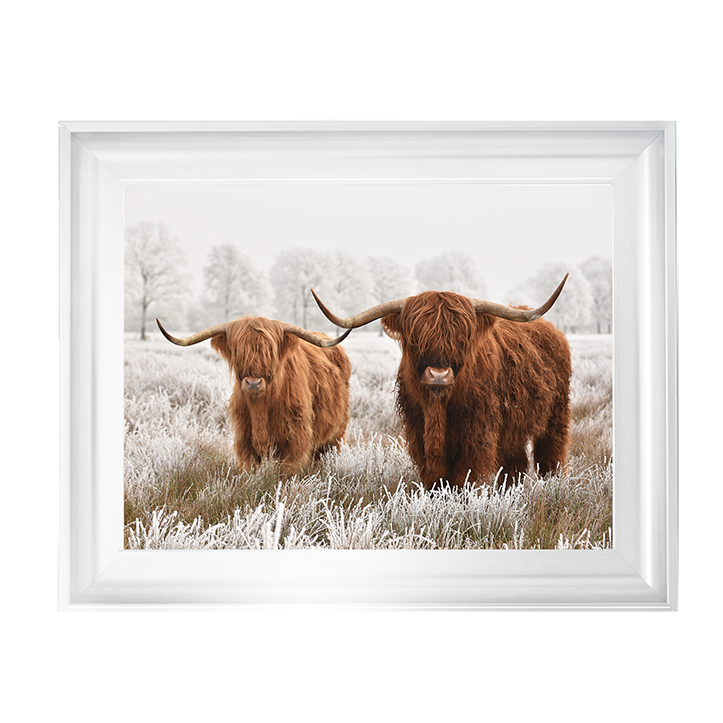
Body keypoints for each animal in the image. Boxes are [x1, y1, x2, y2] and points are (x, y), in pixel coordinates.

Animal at [156, 316, 352, 475]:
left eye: (270, 351)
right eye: (238, 351)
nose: (253, 383)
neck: (261, 407)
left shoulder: (295, 440)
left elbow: (286, 473)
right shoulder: (244, 439)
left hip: (337, 433)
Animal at [311, 276, 571, 489]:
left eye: (462, 338)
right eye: (415, 337)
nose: (438, 374)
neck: (438, 407)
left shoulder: (477, 435)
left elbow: (463, 479)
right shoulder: (418, 432)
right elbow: (435, 479)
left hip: (556, 415)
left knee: (551, 454)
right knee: (515, 463)